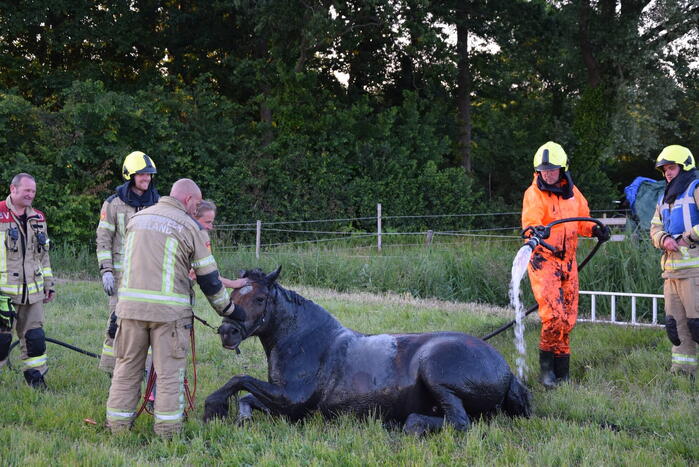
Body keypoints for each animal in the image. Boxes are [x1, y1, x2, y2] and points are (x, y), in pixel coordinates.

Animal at [204, 267, 531, 434]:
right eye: (233, 293)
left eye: (259, 298)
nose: (227, 332)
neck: (303, 339)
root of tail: (507, 371)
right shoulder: (286, 406)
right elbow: (247, 396)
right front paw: (241, 418)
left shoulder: (292, 399)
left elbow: (240, 380)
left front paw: (213, 407)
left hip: (435, 372)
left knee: (459, 423)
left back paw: (407, 424)